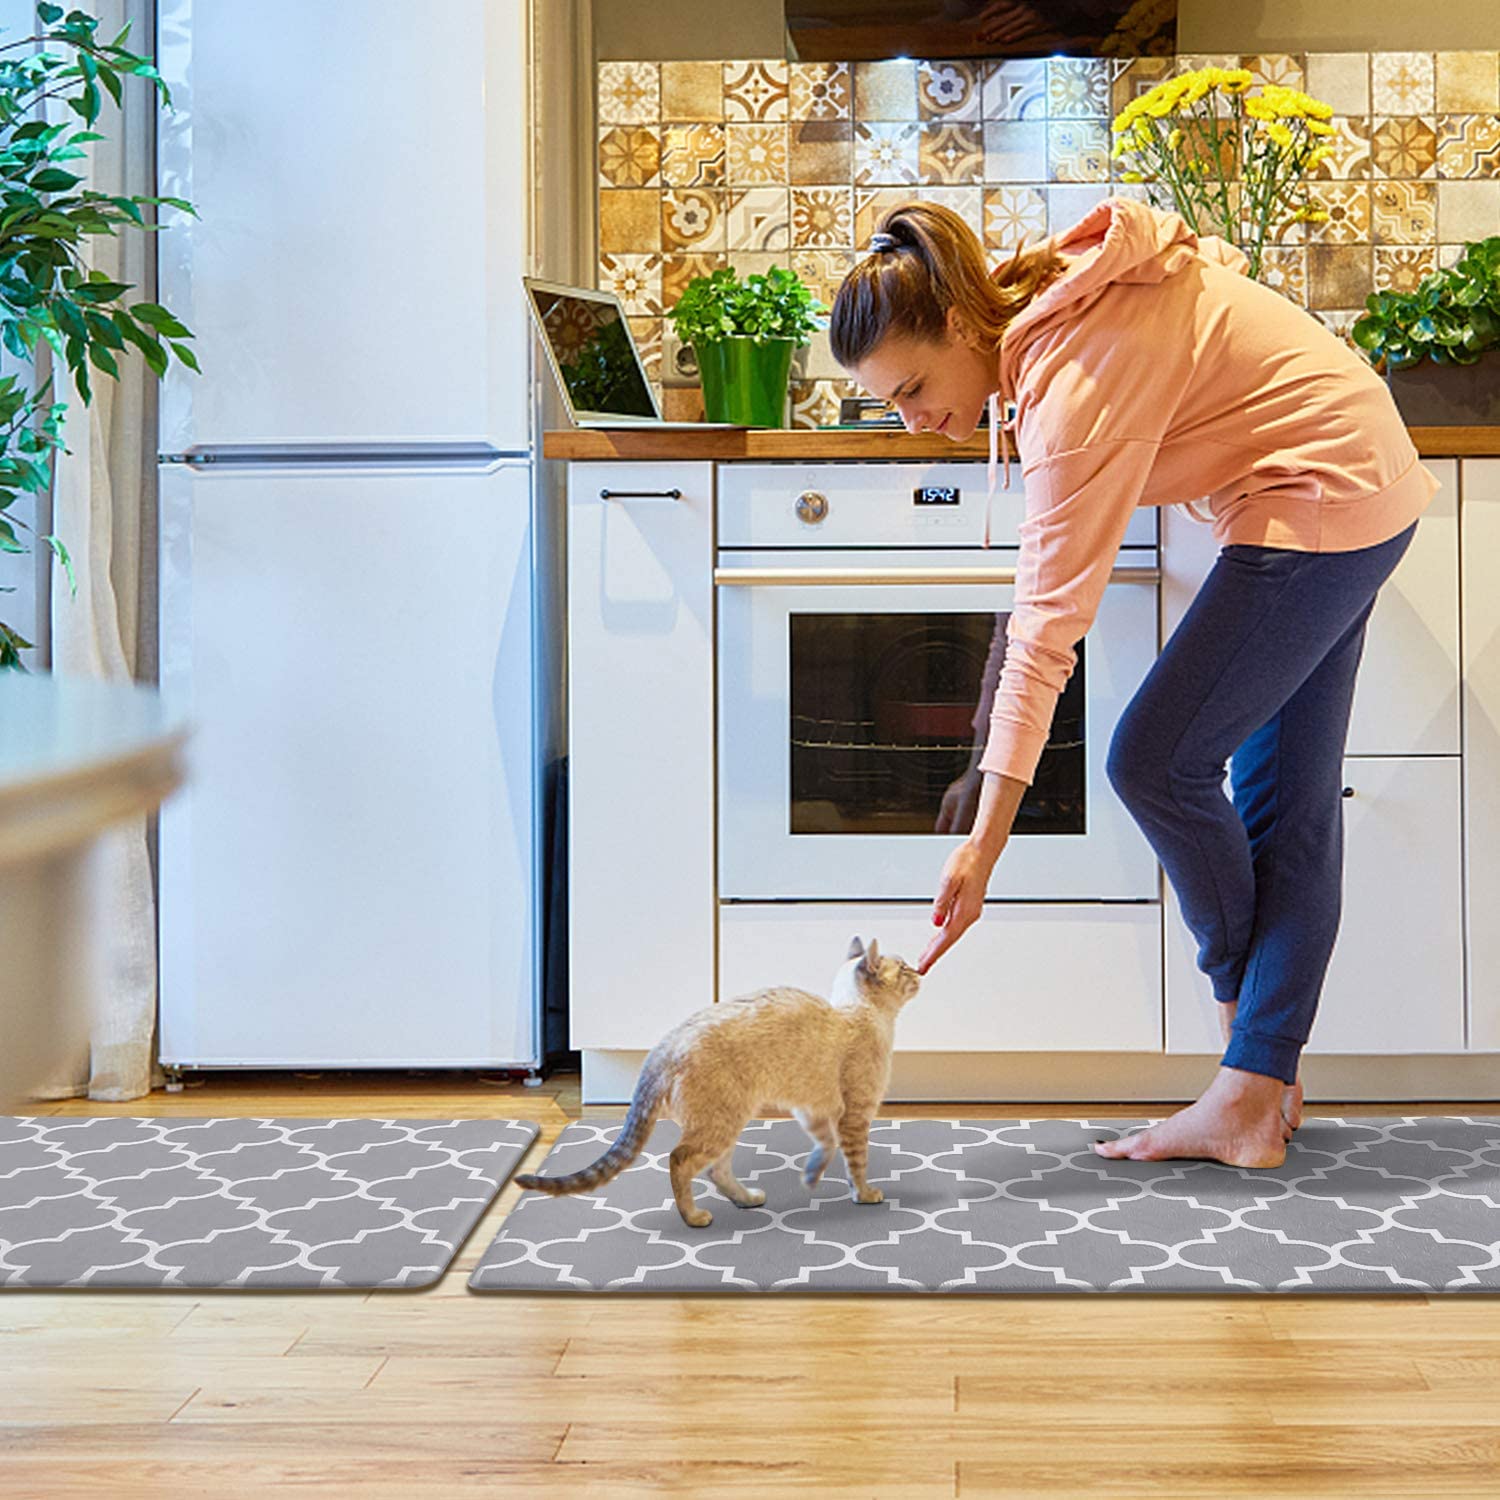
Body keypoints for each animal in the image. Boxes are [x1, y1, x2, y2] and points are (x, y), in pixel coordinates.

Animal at [510, 936, 918, 1230]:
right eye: (904, 968)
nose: (920, 972)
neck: (859, 1013)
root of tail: (664, 1047)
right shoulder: (855, 1115)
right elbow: (857, 1162)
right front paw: (864, 1194)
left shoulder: (812, 1109)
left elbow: (825, 1146)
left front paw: (811, 1176)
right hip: (721, 1122)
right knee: (680, 1161)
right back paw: (694, 1218)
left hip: (729, 1120)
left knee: (715, 1170)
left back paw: (745, 1199)